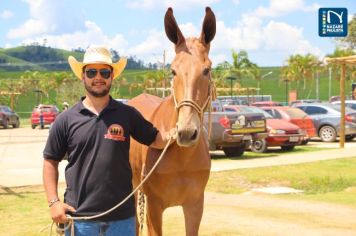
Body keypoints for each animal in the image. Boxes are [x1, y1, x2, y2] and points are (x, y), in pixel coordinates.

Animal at [129, 7, 216, 236]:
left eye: (207, 69)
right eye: (173, 70)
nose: (186, 132)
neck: (181, 158)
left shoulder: (195, 205)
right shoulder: (154, 207)